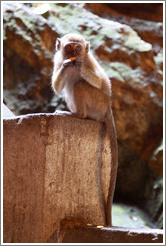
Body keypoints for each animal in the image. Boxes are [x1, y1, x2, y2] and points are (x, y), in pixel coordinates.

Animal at [51, 32, 117, 227]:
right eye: (69, 47)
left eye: (77, 48)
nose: (74, 55)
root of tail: (107, 106)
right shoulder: (58, 59)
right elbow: (57, 87)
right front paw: (67, 65)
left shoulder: (89, 60)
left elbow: (101, 81)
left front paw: (79, 66)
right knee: (70, 86)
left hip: (98, 101)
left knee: (80, 84)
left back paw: (78, 115)